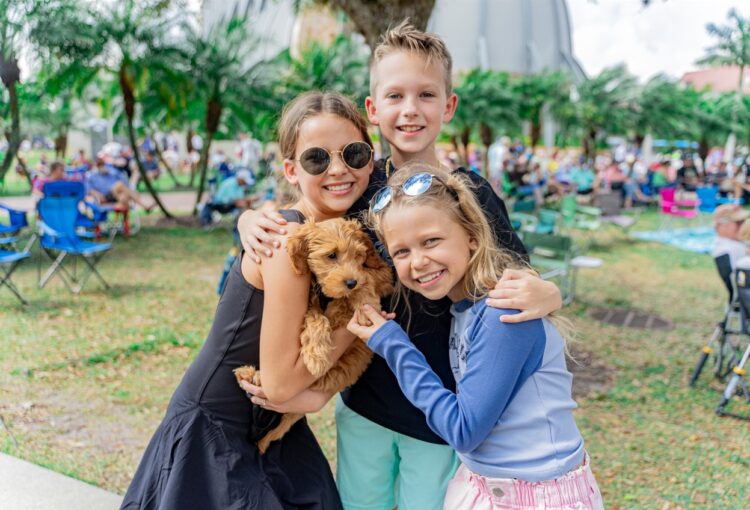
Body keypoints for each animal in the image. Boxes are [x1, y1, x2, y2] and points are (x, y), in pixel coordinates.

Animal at [238, 217, 394, 452]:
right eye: (331, 255)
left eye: (358, 254)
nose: (350, 282)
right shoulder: (311, 301)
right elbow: (316, 317)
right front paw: (316, 355)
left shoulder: (384, 274)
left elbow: (367, 278)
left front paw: (365, 306)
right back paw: (248, 375)